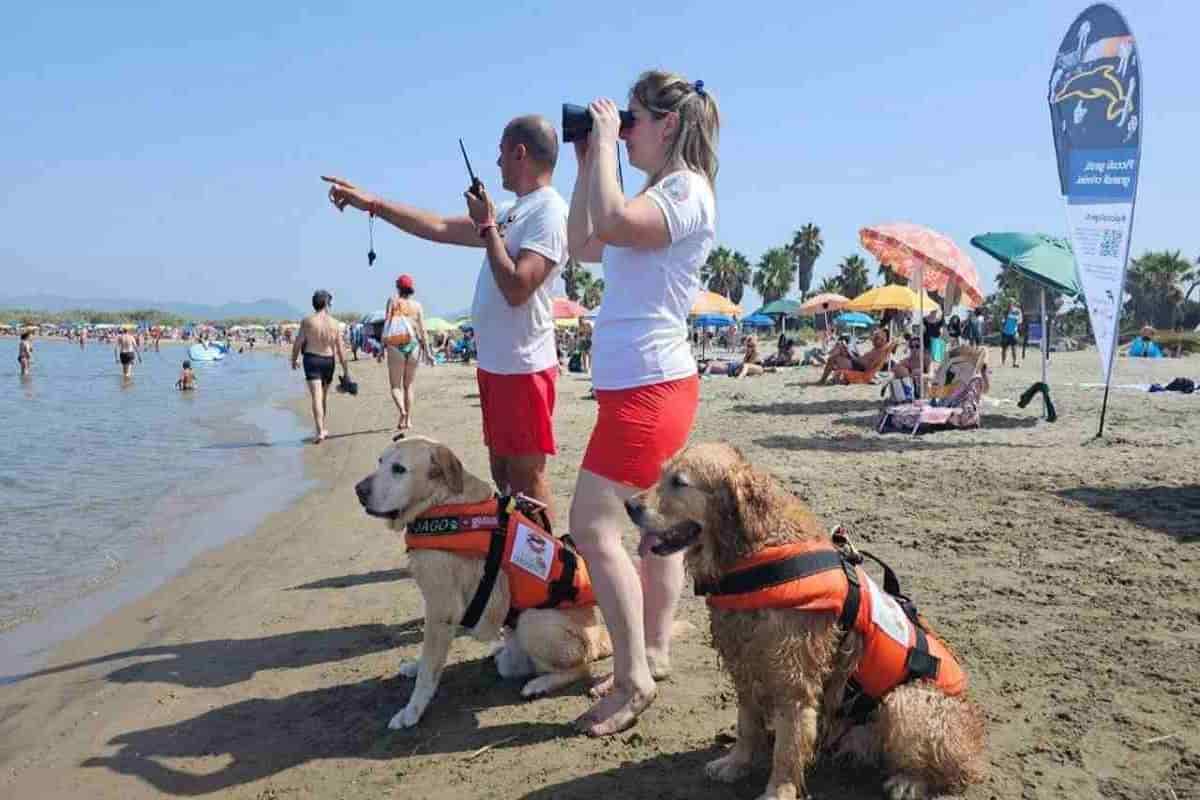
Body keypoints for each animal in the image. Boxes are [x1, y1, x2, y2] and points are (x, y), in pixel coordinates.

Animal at [352, 438, 614, 734]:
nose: (358, 490)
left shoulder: (442, 610)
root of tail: (601, 638)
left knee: (582, 667)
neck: (440, 502)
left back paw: (540, 684)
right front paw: (415, 667)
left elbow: (429, 672)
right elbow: (427, 659)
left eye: (399, 469)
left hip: (533, 620)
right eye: (380, 461)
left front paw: (412, 711)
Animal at [624, 443, 979, 800]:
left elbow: (787, 748)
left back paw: (910, 780)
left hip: (909, 699)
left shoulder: (793, 679)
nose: (629, 505)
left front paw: (777, 791)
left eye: (679, 482)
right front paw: (735, 763)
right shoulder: (744, 665)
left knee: (950, 770)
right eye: (661, 474)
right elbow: (747, 723)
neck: (753, 550)